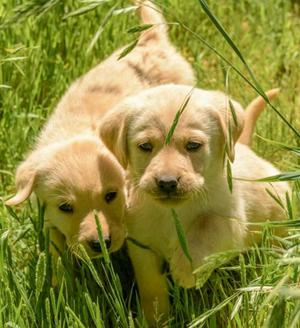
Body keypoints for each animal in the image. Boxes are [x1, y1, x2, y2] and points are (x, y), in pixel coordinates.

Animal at [6, 1, 197, 266]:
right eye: (65, 207)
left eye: (111, 195)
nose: (100, 244)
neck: (77, 131)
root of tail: (148, 39)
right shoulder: (47, 217)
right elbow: (56, 253)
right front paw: (60, 275)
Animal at [99, 83, 290, 324]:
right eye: (145, 146)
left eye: (193, 145)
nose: (167, 183)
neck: (173, 211)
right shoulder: (141, 245)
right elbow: (151, 286)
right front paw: (156, 318)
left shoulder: (233, 222)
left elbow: (207, 225)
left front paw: (186, 268)